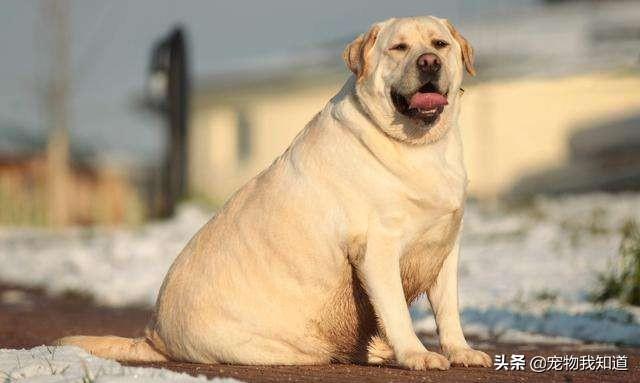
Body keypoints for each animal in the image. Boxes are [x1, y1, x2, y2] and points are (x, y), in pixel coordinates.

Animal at [58, 15, 490, 372]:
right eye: (398, 48)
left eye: (439, 44)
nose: (428, 63)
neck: (420, 146)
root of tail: (153, 336)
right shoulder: (377, 249)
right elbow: (397, 310)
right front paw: (416, 354)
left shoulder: (445, 247)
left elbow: (448, 310)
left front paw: (460, 351)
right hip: (279, 345)